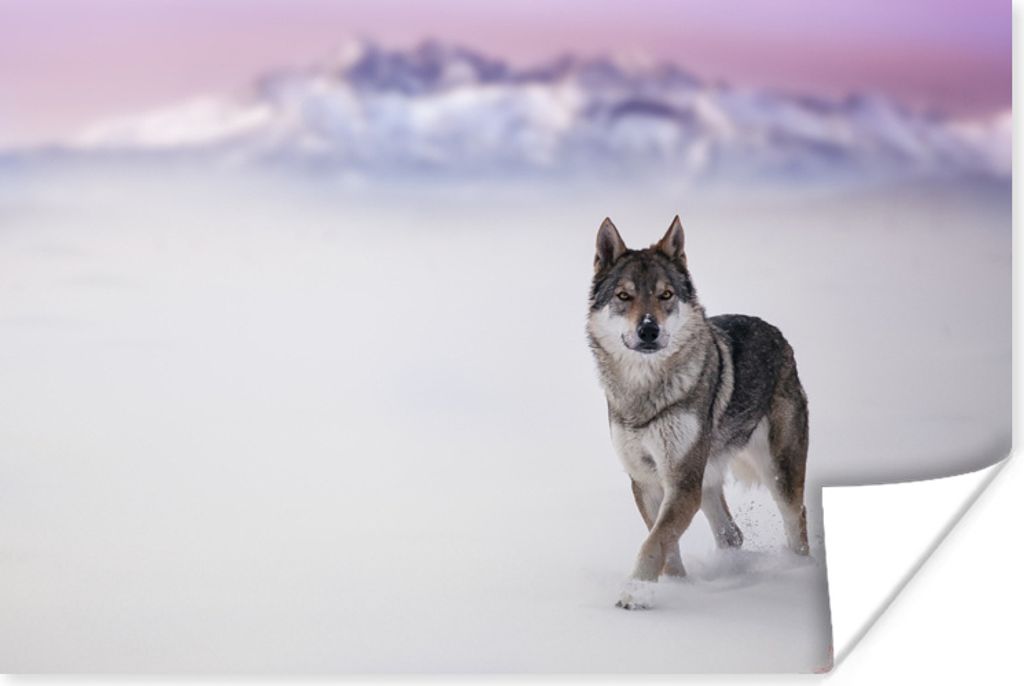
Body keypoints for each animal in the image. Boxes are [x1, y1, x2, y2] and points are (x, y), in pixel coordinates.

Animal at [587, 216, 809, 609]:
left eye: (665, 295)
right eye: (624, 296)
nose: (648, 329)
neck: (645, 393)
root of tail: (778, 334)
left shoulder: (682, 482)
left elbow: (654, 542)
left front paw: (633, 593)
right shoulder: (647, 481)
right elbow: (666, 544)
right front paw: (676, 587)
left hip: (777, 475)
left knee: (797, 518)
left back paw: (800, 572)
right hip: (707, 480)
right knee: (733, 534)